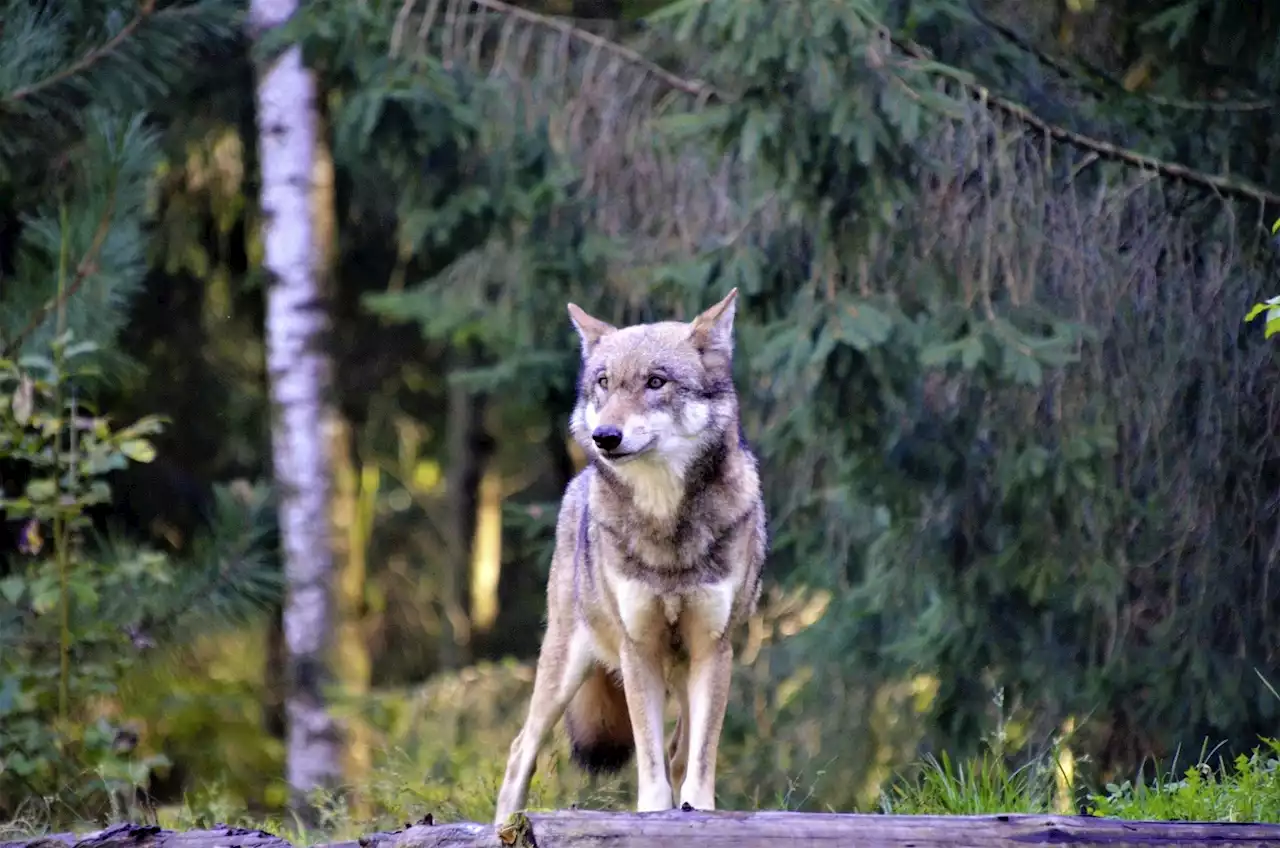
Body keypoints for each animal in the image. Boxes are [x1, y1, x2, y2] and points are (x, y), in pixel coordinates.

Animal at [494, 289, 762, 824]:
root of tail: (577, 483)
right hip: (565, 667)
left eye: (656, 382)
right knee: (519, 751)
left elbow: (699, 759)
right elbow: (650, 763)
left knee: (680, 749)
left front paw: (696, 810)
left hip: (678, 672)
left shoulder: (713, 649)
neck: (666, 526)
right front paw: (655, 814)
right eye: (604, 383)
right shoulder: (637, 649)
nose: (605, 437)